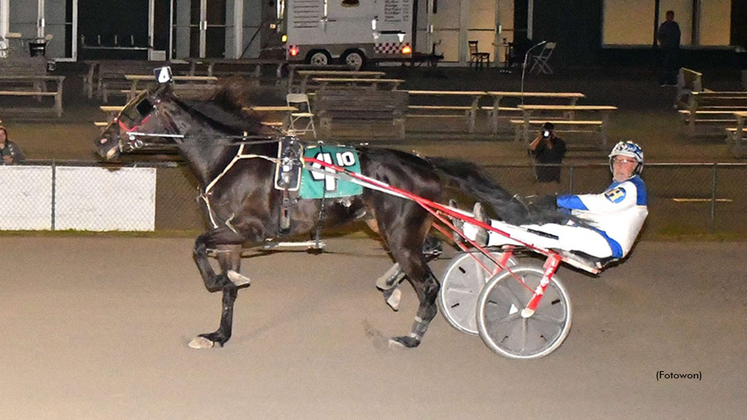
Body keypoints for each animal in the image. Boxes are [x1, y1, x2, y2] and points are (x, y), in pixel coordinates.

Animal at [93, 80, 548, 350]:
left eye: (137, 110)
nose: (102, 142)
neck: (230, 158)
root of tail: (424, 163)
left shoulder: (249, 230)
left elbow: (199, 247)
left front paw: (221, 279)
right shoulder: (231, 238)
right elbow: (227, 291)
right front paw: (219, 333)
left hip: (401, 232)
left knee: (430, 285)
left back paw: (410, 336)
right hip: (389, 225)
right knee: (433, 247)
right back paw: (391, 285)